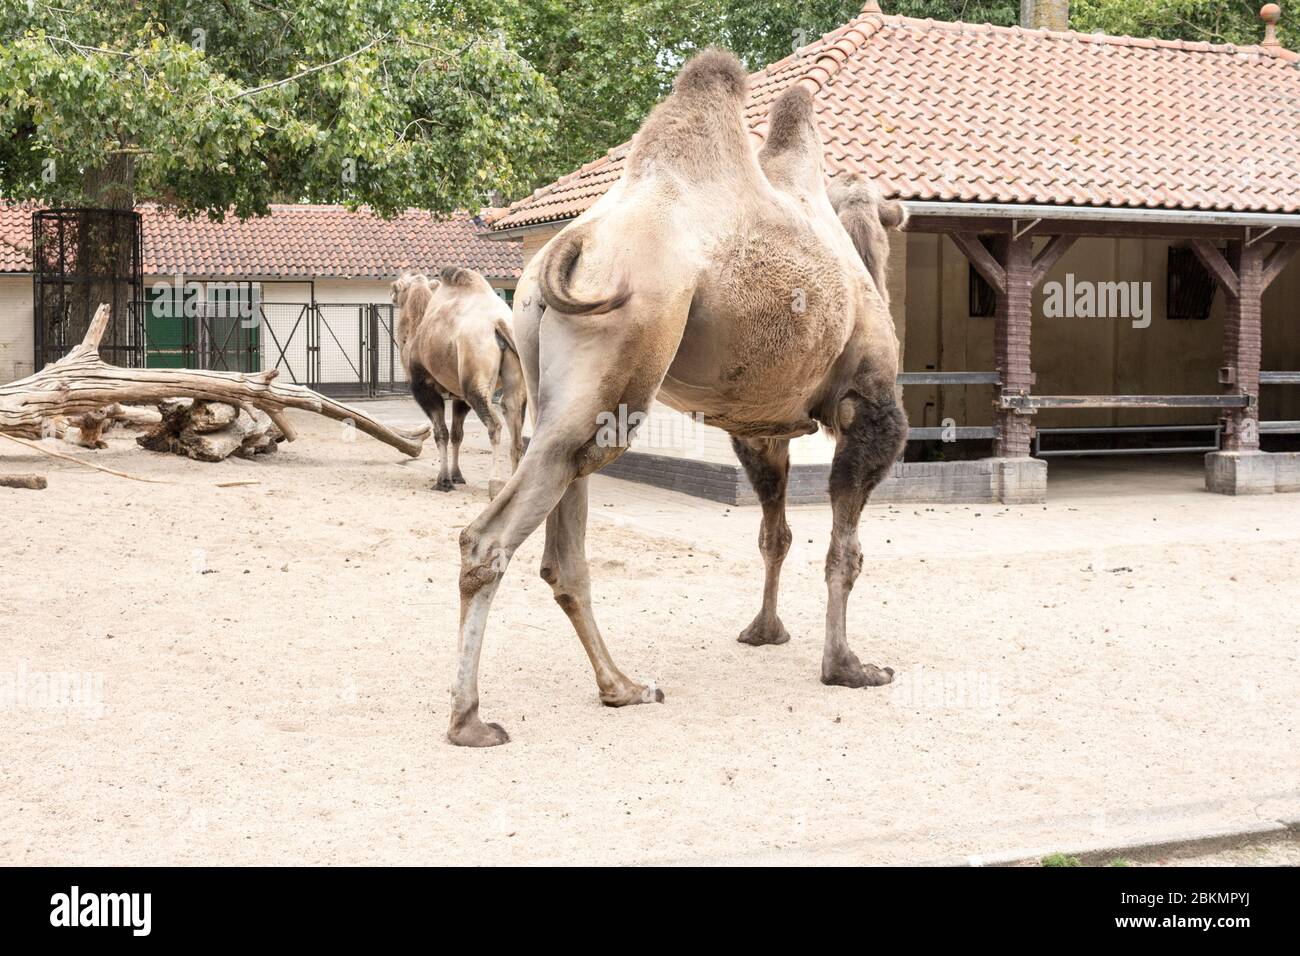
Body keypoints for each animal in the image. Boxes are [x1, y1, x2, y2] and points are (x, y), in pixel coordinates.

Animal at [387, 267, 525, 496]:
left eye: (397, 287)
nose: (391, 294)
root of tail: (500, 323)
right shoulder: (459, 396)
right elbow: (456, 434)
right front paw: (457, 476)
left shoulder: (425, 388)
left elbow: (441, 433)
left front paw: (443, 481)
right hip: (516, 374)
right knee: (514, 419)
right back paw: (513, 485)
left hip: (474, 375)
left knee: (495, 424)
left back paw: (495, 482)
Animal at [444, 50, 904, 749]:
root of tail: (566, 248)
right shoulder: (868, 409)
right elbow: (844, 552)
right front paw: (848, 667)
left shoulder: (761, 428)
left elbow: (775, 532)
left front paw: (764, 632)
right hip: (625, 352)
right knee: (490, 537)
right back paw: (470, 718)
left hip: (558, 381)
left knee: (563, 543)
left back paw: (623, 686)